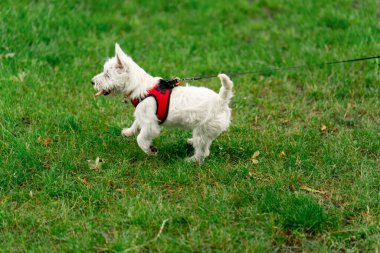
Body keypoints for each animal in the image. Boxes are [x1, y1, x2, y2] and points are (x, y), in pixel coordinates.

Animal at [92, 43, 235, 163]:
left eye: (107, 75)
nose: (92, 82)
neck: (139, 86)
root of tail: (221, 100)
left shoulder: (150, 124)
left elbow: (141, 139)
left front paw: (150, 150)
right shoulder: (142, 115)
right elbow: (136, 123)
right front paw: (128, 132)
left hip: (203, 129)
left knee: (203, 151)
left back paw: (190, 160)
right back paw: (191, 142)